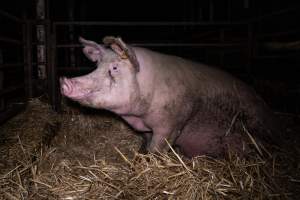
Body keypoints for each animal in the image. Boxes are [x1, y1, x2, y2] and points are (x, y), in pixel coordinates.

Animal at [59, 36, 278, 158]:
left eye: (114, 68)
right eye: (97, 66)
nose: (64, 82)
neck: (140, 115)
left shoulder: (172, 123)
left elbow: (158, 148)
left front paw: (151, 161)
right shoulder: (146, 129)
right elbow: (146, 143)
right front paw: (141, 154)